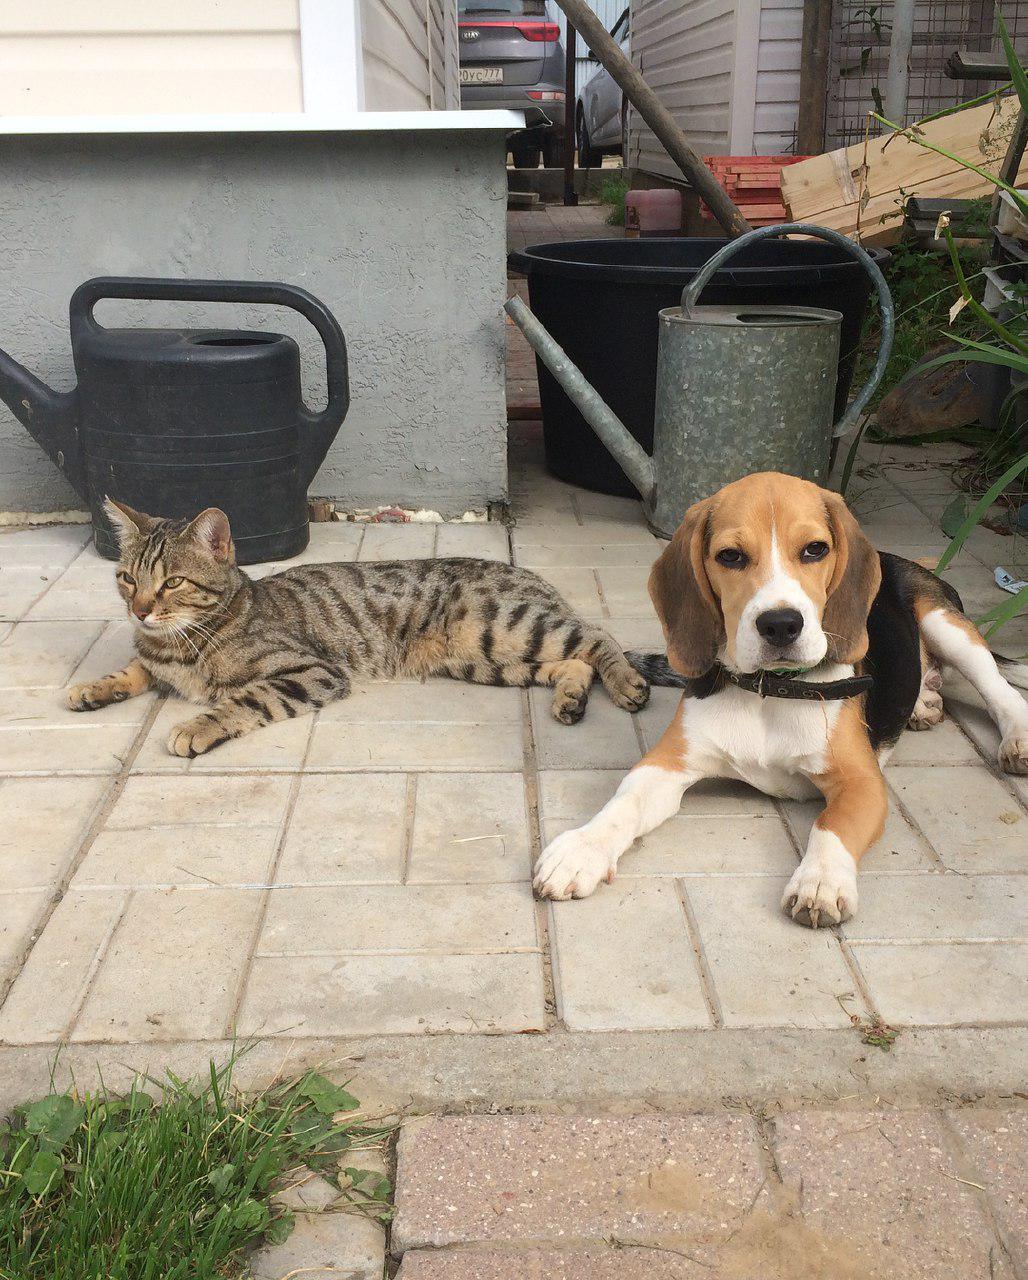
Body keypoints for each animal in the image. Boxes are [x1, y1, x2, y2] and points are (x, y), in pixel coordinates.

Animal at [68, 499, 650, 752]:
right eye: (126, 578)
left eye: (172, 583)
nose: (139, 610)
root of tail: (531, 574)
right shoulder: (152, 658)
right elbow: (133, 669)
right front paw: (93, 688)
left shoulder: (312, 671)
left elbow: (243, 701)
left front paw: (197, 726)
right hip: (486, 660)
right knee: (572, 663)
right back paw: (570, 699)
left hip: (508, 626)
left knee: (598, 638)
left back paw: (628, 683)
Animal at [535, 476, 1024, 926]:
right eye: (730, 556)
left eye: (814, 550)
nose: (781, 624)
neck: (771, 690)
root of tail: (895, 558)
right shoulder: (666, 763)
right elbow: (623, 803)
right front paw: (581, 849)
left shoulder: (862, 782)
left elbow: (831, 825)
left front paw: (820, 882)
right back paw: (923, 701)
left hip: (946, 623)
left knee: (1000, 688)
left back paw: (1013, 737)